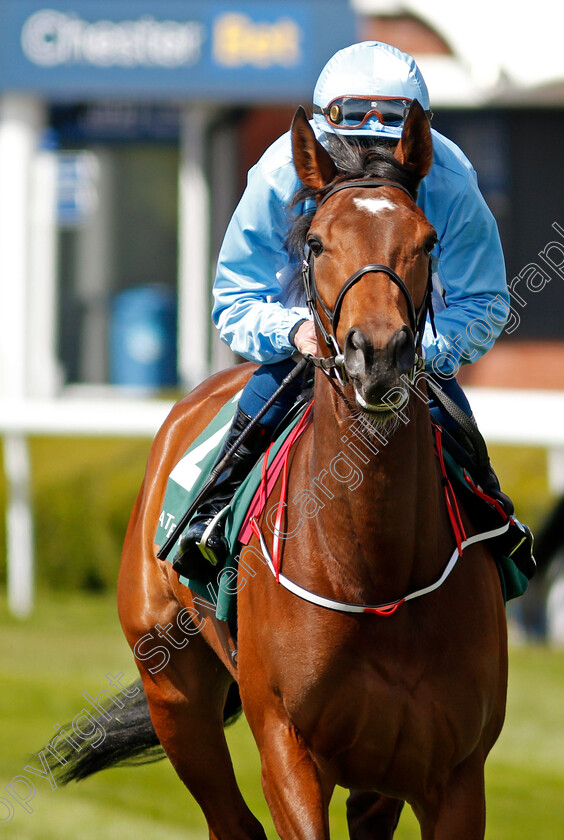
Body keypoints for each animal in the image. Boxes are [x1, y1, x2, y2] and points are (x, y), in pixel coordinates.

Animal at [53, 106, 508, 840]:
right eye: (317, 243)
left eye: (428, 240)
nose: (378, 356)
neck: (376, 573)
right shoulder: (288, 752)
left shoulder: (456, 773)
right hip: (173, 692)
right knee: (230, 819)